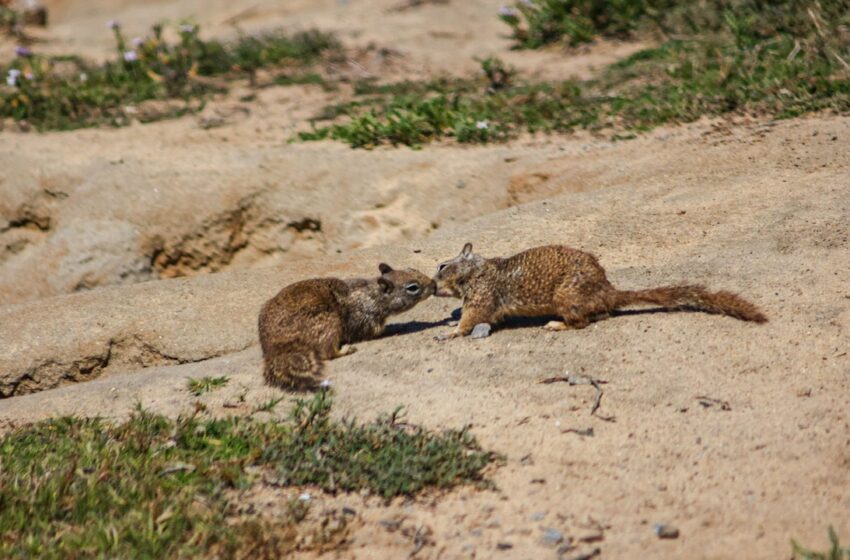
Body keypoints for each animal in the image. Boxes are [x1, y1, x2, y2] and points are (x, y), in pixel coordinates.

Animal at [255, 264, 434, 388]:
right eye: (412, 287)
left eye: (413, 268)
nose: (434, 284)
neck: (373, 293)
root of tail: (274, 349)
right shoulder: (364, 321)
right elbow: (374, 331)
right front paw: (396, 328)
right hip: (330, 324)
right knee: (327, 352)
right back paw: (345, 350)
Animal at [434, 244, 764, 340]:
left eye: (441, 265)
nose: (432, 285)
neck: (476, 271)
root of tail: (609, 291)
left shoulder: (480, 296)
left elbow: (471, 318)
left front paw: (450, 331)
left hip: (565, 298)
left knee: (581, 322)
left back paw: (556, 325)